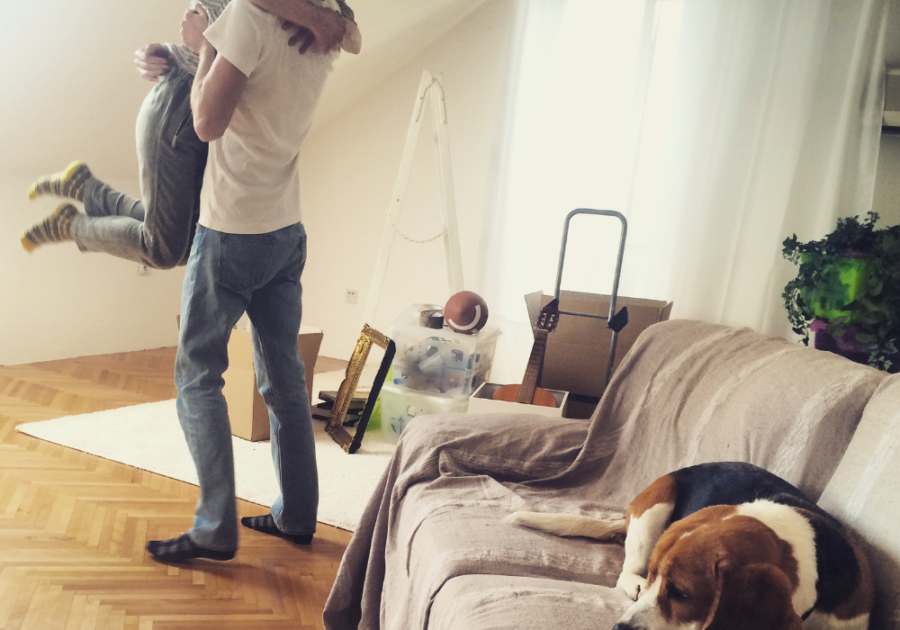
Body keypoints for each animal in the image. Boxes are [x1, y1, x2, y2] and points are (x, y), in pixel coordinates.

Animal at [510, 462, 876, 630]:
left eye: (681, 594)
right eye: (656, 578)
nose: (618, 628)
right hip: (656, 502)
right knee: (626, 569)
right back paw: (632, 582)